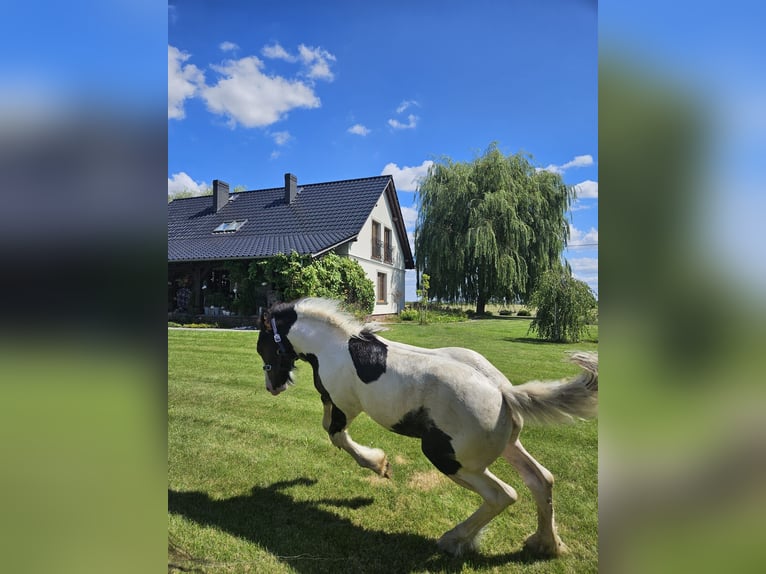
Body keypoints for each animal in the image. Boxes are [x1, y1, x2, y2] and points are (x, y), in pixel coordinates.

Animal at [258, 300, 600, 556]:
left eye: (263, 347)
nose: (272, 387)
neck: (334, 347)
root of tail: (505, 393)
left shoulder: (344, 406)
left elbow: (336, 436)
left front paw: (380, 465)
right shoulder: (331, 401)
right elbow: (328, 427)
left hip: (448, 458)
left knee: (503, 494)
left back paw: (453, 541)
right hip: (507, 446)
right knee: (541, 480)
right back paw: (546, 544)